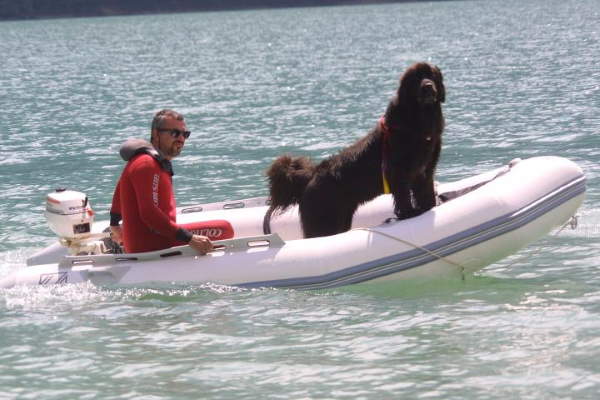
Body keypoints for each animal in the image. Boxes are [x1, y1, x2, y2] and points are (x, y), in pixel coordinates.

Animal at [264, 62, 442, 238]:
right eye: (416, 78)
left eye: (431, 75)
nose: (428, 86)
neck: (420, 120)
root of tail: (311, 175)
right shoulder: (398, 171)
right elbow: (403, 196)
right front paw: (410, 213)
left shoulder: (425, 170)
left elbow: (424, 192)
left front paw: (429, 207)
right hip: (324, 220)